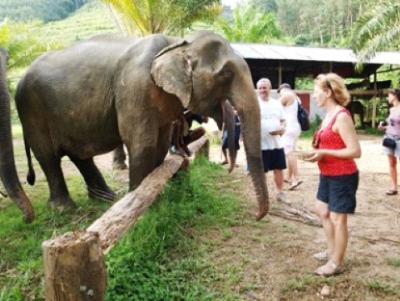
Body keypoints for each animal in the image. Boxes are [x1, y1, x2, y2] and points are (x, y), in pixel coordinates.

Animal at [12, 29, 268, 218]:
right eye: (226, 74)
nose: (256, 216)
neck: (176, 42)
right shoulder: (135, 87)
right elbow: (141, 142)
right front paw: (138, 208)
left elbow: (161, 143)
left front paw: (156, 196)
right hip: (31, 110)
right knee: (48, 156)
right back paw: (65, 209)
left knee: (78, 155)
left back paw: (107, 198)